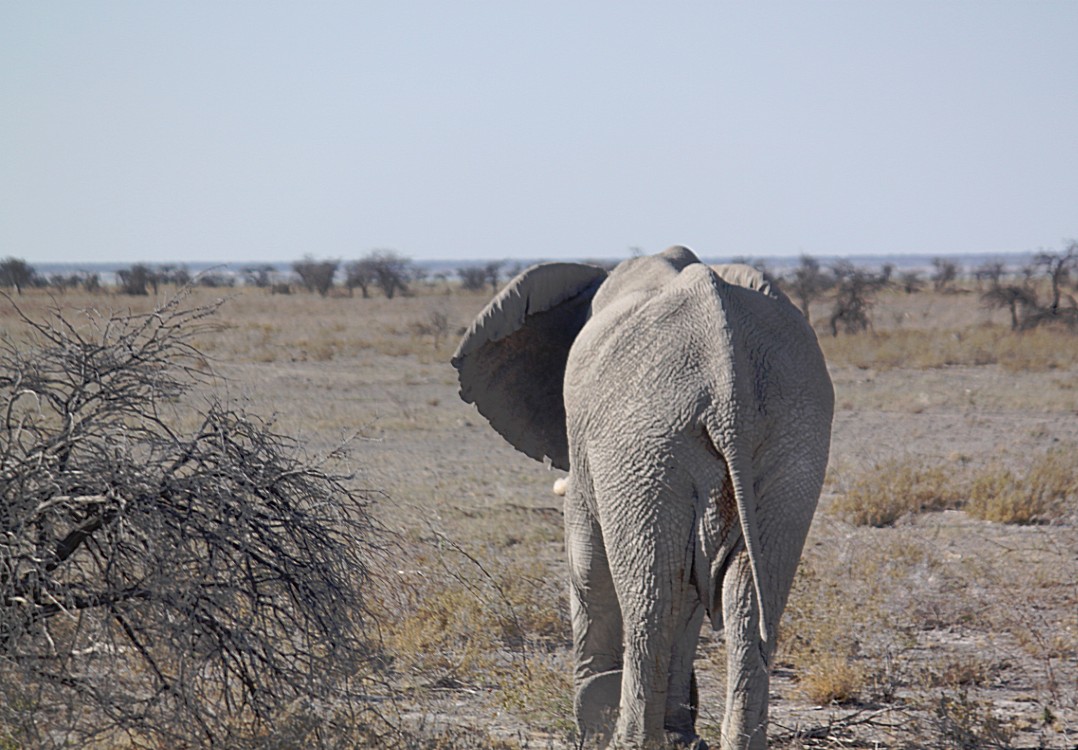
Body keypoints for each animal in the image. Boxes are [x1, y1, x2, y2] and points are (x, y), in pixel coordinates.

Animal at [450, 247, 836, 750]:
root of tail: (728, 383)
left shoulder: (590, 450)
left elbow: (586, 562)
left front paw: (595, 722)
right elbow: (692, 586)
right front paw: (679, 735)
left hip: (642, 440)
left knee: (652, 597)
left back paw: (627, 741)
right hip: (789, 438)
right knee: (746, 596)